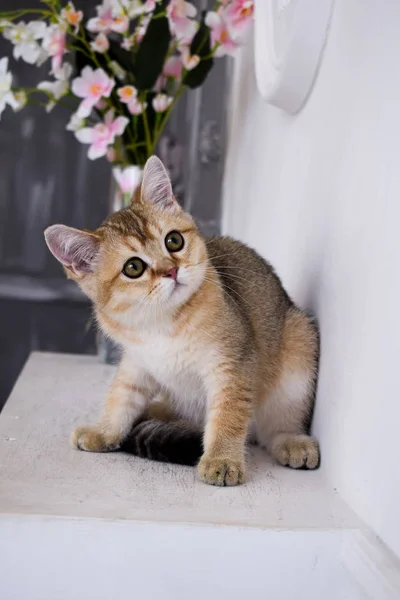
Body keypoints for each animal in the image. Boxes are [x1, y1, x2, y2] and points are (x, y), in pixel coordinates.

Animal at [44, 156, 318, 488]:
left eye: (173, 240)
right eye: (133, 267)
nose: (171, 271)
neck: (163, 323)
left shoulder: (232, 365)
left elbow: (228, 414)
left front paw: (222, 460)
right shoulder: (137, 361)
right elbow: (122, 396)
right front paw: (104, 430)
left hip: (298, 348)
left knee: (274, 427)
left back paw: (292, 441)